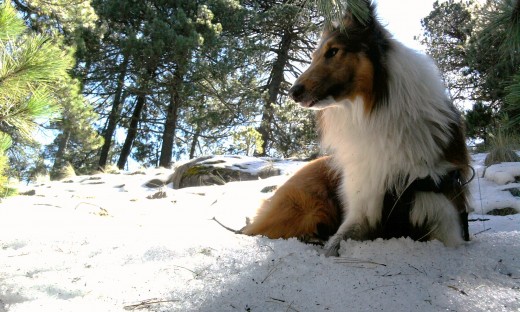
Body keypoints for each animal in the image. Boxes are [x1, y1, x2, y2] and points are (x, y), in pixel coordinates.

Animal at [286, 0, 474, 256]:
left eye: (333, 52)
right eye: (315, 56)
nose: (292, 92)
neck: (373, 114)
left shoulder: (444, 214)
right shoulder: (363, 204)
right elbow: (334, 244)